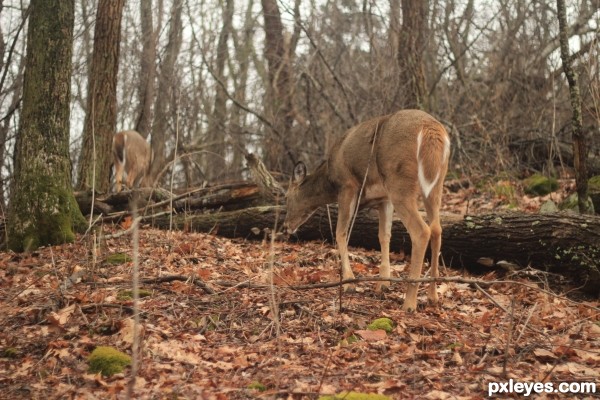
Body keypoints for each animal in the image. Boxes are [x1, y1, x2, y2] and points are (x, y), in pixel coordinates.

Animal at [284, 109, 450, 312]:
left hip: (400, 182)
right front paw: (383, 283)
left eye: (286, 197)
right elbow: (384, 236)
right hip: (435, 184)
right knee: (437, 229)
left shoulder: (347, 186)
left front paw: (349, 281)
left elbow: (340, 232)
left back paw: (409, 302)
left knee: (421, 231)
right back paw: (433, 296)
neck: (330, 180)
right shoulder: (384, 199)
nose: (286, 225)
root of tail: (430, 129)